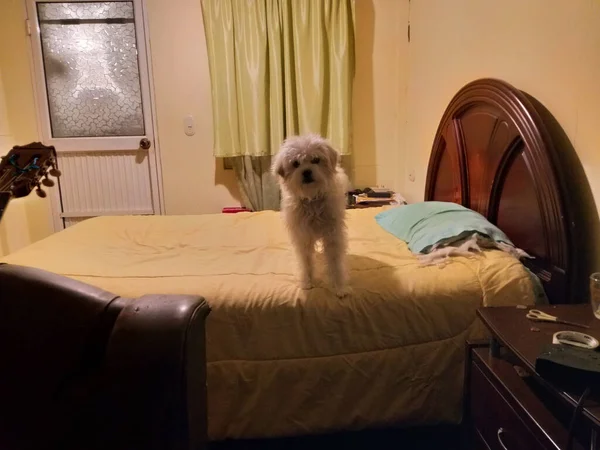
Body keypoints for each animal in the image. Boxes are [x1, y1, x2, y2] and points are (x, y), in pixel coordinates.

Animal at [270, 133, 350, 298]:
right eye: (296, 163)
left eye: (316, 160)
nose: (306, 171)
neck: (312, 199)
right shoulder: (303, 237)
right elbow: (305, 261)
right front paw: (307, 282)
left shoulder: (332, 236)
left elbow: (335, 262)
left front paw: (339, 287)